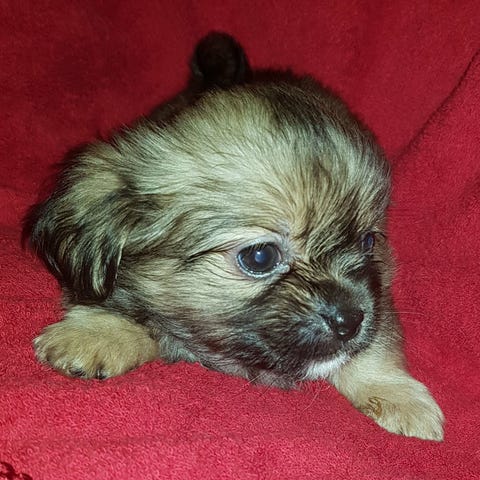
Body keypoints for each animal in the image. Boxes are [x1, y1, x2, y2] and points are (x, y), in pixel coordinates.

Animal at [24, 32, 444, 440]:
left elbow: (376, 345)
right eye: (259, 257)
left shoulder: (378, 294)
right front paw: (97, 333)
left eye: (368, 242)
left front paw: (397, 394)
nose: (350, 318)